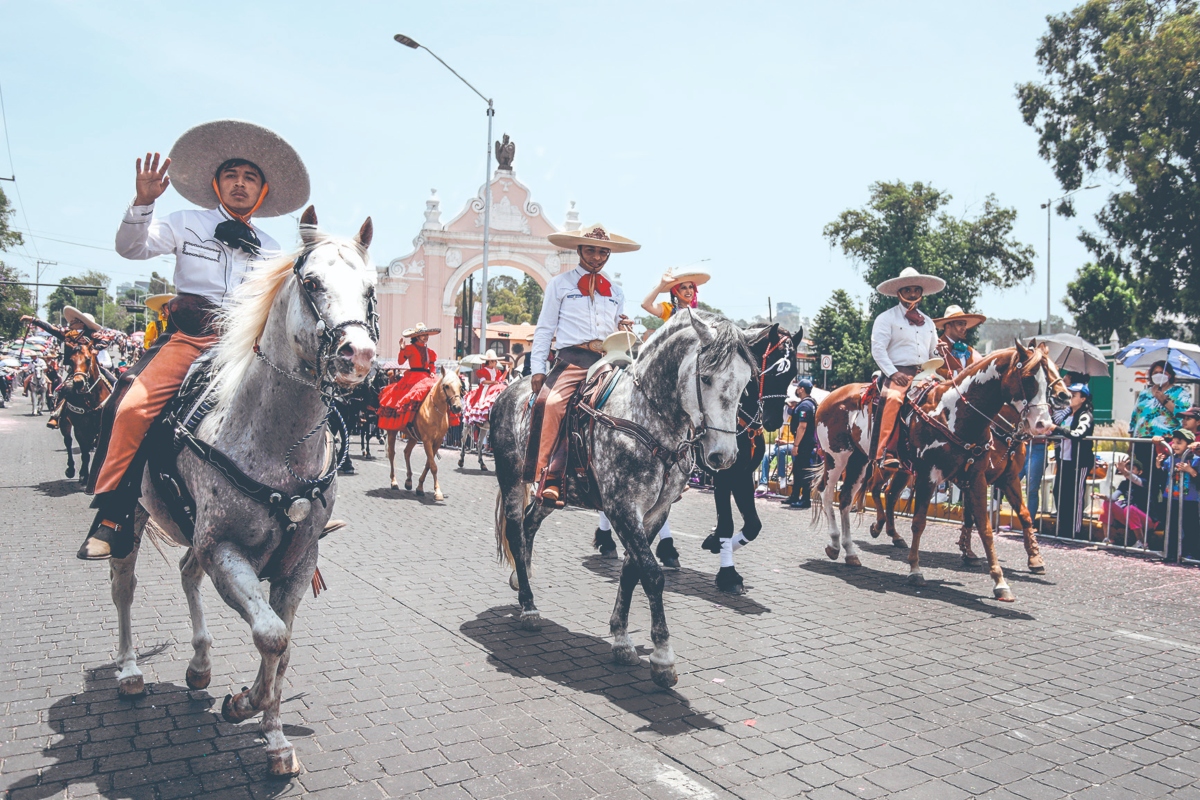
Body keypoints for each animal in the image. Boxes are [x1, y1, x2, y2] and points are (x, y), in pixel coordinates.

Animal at [58, 343, 111, 482]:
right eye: (71, 361)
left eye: (88, 359)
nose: (78, 382)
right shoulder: (80, 428)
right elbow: (85, 452)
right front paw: (83, 475)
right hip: (64, 423)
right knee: (68, 441)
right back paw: (70, 469)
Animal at [386, 367, 460, 501]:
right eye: (446, 386)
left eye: (461, 386)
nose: (457, 407)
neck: (435, 411)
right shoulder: (427, 441)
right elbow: (433, 466)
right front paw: (438, 492)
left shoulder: (437, 442)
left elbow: (428, 464)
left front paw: (420, 487)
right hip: (392, 432)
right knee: (392, 454)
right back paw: (394, 482)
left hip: (413, 437)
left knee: (406, 452)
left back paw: (409, 481)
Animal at [484, 309, 748, 690]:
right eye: (706, 378)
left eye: (745, 383)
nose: (723, 456)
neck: (646, 418)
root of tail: (509, 390)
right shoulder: (622, 508)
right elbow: (652, 574)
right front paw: (662, 657)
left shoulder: (654, 512)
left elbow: (631, 571)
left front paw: (622, 639)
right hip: (512, 478)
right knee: (517, 533)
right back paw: (529, 606)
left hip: (551, 493)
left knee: (531, 524)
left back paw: (523, 582)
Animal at [696, 321, 806, 592]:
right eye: (771, 371)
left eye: (791, 374)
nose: (774, 421)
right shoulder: (723, 475)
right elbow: (727, 523)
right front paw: (728, 575)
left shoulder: (743, 476)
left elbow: (753, 526)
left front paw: (715, 542)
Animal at [811, 343, 1065, 599]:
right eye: (1028, 378)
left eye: (1049, 376)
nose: (1044, 424)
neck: (957, 414)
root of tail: (829, 396)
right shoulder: (929, 476)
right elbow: (919, 522)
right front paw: (915, 570)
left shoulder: (981, 478)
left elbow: (988, 527)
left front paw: (1001, 581)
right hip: (838, 457)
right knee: (828, 493)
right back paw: (835, 544)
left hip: (861, 460)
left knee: (847, 499)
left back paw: (851, 551)